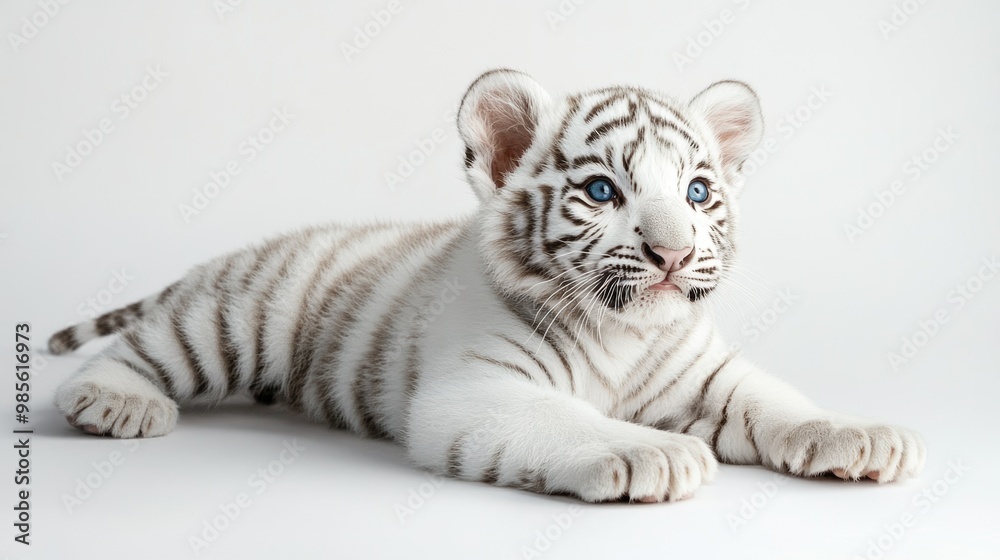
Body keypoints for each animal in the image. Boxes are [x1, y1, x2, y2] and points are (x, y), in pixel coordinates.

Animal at [48, 69, 925, 503]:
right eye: (603, 191)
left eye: (699, 193)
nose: (674, 255)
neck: (620, 332)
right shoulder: (478, 388)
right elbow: (571, 420)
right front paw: (652, 452)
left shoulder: (710, 373)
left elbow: (782, 403)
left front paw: (861, 437)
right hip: (234, 320)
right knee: (141, 348)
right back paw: (113, 404)